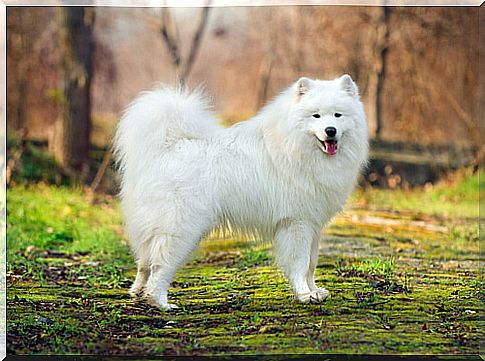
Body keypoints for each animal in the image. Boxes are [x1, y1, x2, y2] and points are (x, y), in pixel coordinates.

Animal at [113, 74, 366, 308]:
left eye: (338, 115)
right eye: (316, 116)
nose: (330, 131)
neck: (296, 146)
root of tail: (168, 146)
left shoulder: (314, 225)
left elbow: (312, 264)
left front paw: (315, 292)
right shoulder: (297, 223)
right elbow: (301, 263)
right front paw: (304, 295)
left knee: (145, 261)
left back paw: (138, 292)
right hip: (180, 227)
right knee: (160, 265)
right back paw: (160, 302)